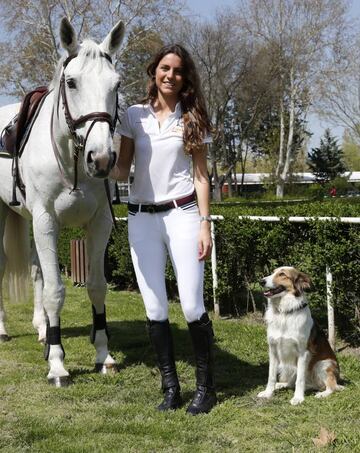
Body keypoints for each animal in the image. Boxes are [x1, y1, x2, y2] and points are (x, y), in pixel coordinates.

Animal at [0, 17, 125, 384]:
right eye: (71, 82)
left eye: (116, 84)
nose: (102, 158)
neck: (71, 160)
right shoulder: (47, 222)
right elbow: (56, 291)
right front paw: (57, 364)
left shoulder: (99, 224)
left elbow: (96, 287)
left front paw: (104, 355)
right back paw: (4, 330)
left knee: (35, 270)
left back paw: (42, 329)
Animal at [256, 266, 344, 404]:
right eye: (273, 272)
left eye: (282, 274)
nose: (261, 281)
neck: (285, 313)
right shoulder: (273, 350)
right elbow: (271, 376)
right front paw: (268, 393)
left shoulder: (303, 353)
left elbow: (300, 379)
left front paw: (298, 398)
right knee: (291, 383)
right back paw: (280, 385)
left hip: (323, 364)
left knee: (332, 386)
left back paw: (321, 394)